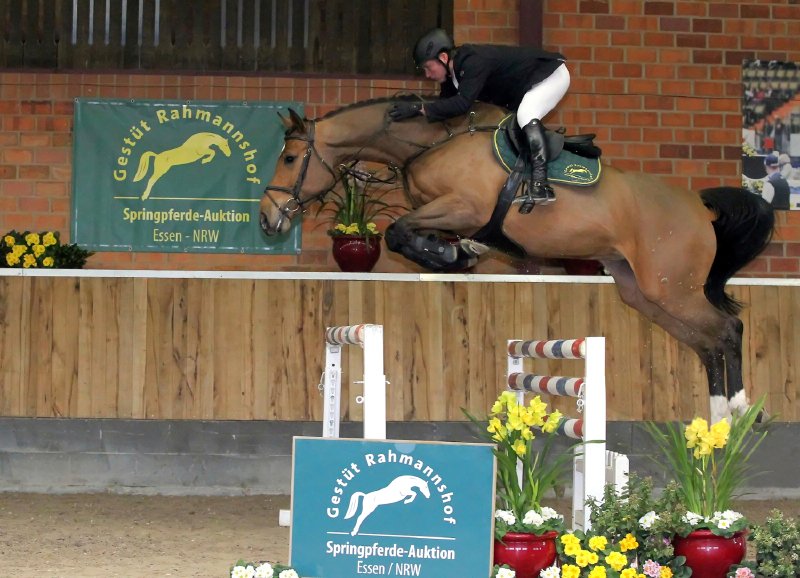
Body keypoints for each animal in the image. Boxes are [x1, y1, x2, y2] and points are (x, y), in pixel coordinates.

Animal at [260, 94, 772, 418]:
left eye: (289, 159)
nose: (268, 220)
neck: (431, 141)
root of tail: (698, 207)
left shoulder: (464, 207)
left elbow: (396, 232)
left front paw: (451, 255)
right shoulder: (447, 214)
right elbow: (408, 235)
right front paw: (455, 253)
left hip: (670, 287)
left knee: (728, 329)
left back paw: (740, 409)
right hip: (644, 293)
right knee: (707, 343)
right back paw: (719, 419)